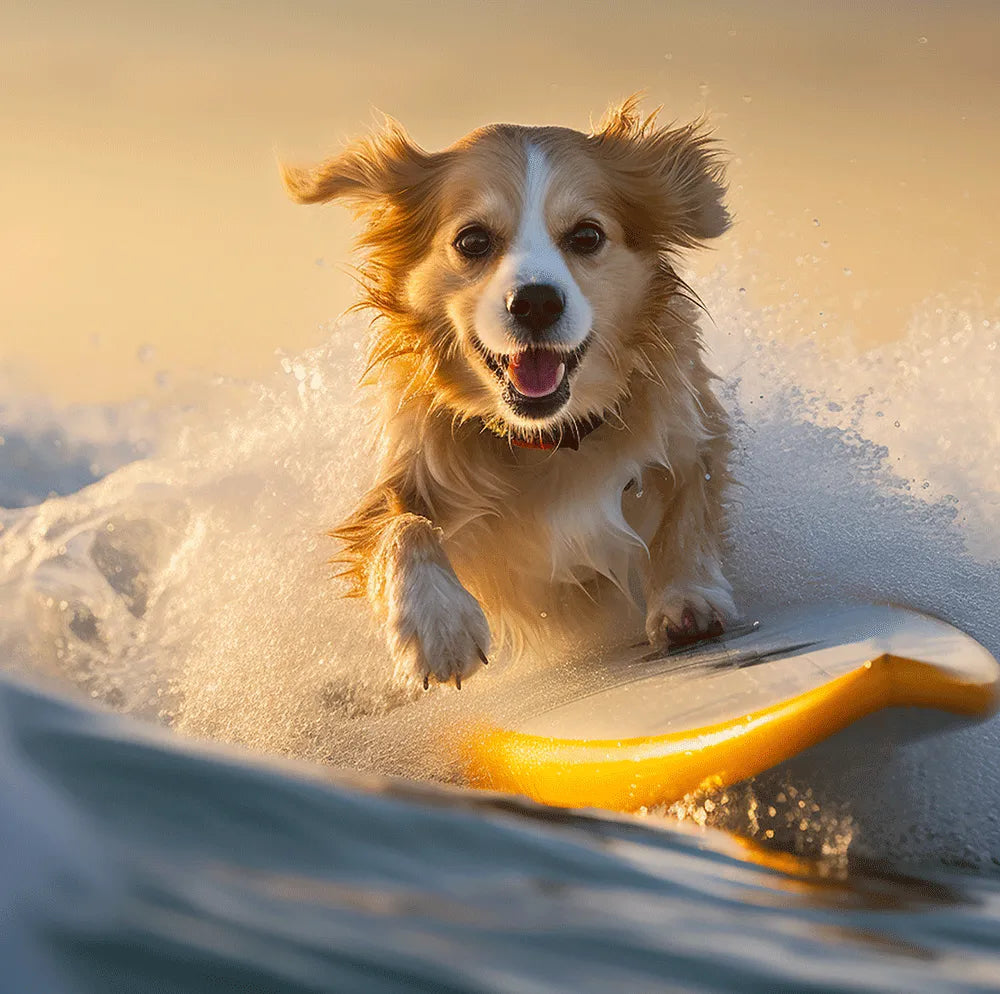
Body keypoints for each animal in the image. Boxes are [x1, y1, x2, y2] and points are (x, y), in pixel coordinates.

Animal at [282, 99, 736, 688]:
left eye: (587, 236)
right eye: (473, 241)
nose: (536, 302)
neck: (546, 439)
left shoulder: (687, 420)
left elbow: (691, 496)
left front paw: (688, 595)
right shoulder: (406, 476)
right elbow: (400, 526)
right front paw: (438, 625)